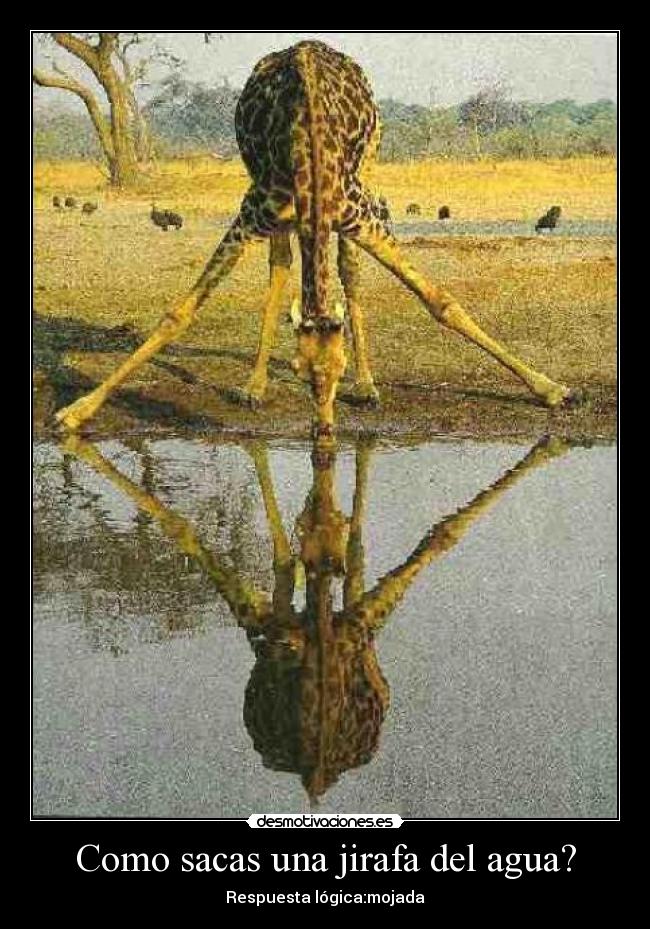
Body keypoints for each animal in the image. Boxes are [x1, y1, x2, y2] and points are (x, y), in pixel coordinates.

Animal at [55, 40, 578, 442]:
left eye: (338, 367)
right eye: (302, 371)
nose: (324, 430)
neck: (308, 143)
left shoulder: (359, 215)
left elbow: (440, 300)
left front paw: (550, 388)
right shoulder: (252, 211)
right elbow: (178, 313)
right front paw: (78, 411)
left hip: (366, 176)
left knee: (346, 267)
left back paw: (368, 387)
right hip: (276, 207)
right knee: (282, 263)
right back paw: (255, 385)